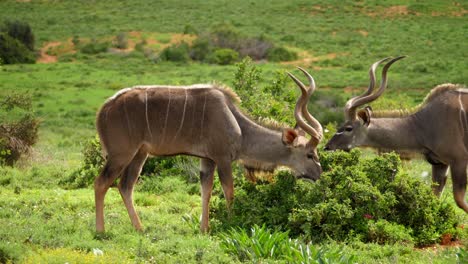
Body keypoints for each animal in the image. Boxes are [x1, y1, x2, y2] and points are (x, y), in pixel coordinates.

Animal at [93, 68, 324, 233]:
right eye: (310, 154)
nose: (319, 174)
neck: (238, 126)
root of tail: (104, 109)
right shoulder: (222, 158)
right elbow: (229, 191)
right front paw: (231, 223)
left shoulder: (207, 160)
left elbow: (206, 190)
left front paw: (204, 229)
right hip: (121, 154)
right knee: (101, 183)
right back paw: (101, 231)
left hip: (139, 154)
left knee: (125, 186)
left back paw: (140, 228)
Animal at [326, 56, 468, 213]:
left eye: (348, 128)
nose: (327, 146)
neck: (421, 125)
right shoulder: (440, 163)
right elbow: (435, 195)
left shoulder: (459, 159)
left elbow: (459, 200)